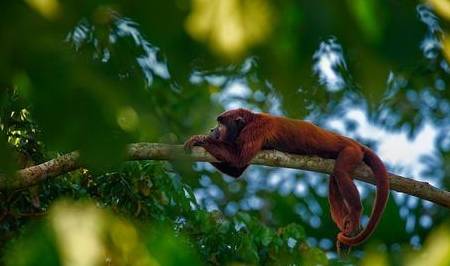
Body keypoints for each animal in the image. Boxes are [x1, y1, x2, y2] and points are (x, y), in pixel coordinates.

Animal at [185, 107, 388, 248]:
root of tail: (355, 143)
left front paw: (200, 139)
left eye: (221, 124)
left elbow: (238, 158)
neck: (250, 120)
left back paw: (355, 213)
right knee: (334, 182)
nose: (212, 130)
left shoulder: (257, 129)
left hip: (351, 152)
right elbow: (237, 170)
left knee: (340, 173)